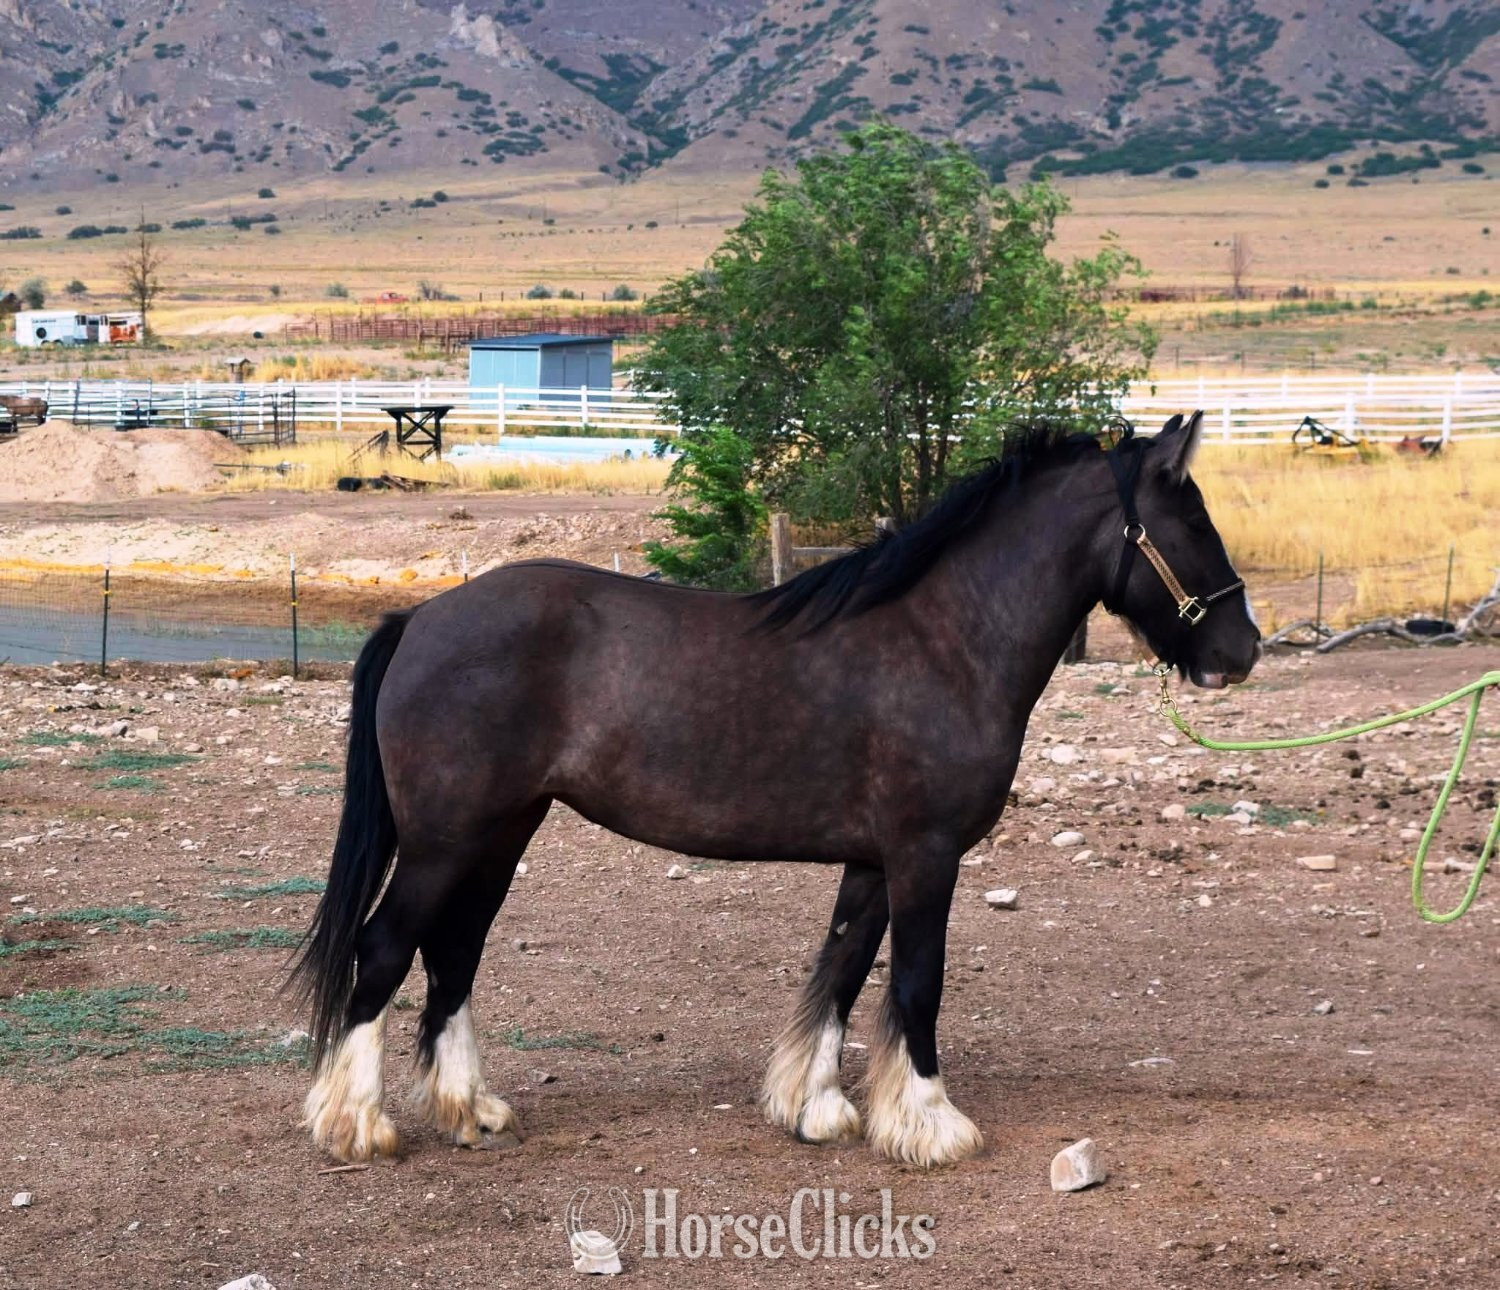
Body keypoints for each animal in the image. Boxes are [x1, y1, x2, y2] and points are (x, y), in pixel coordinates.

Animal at [292, 410, 1261, 1169]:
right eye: (1192, 521)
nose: (1242, 649)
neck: (945, 639)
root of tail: (422, 617)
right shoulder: (925, 854)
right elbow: (918, 982)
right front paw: (931, 1123)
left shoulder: (873, 861)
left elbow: (840, 972)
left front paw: (819, 1109)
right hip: (445, 841)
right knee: (384, 950)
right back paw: (358, 1125)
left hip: (499, 835)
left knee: (453, 953)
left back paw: (472, 1111)